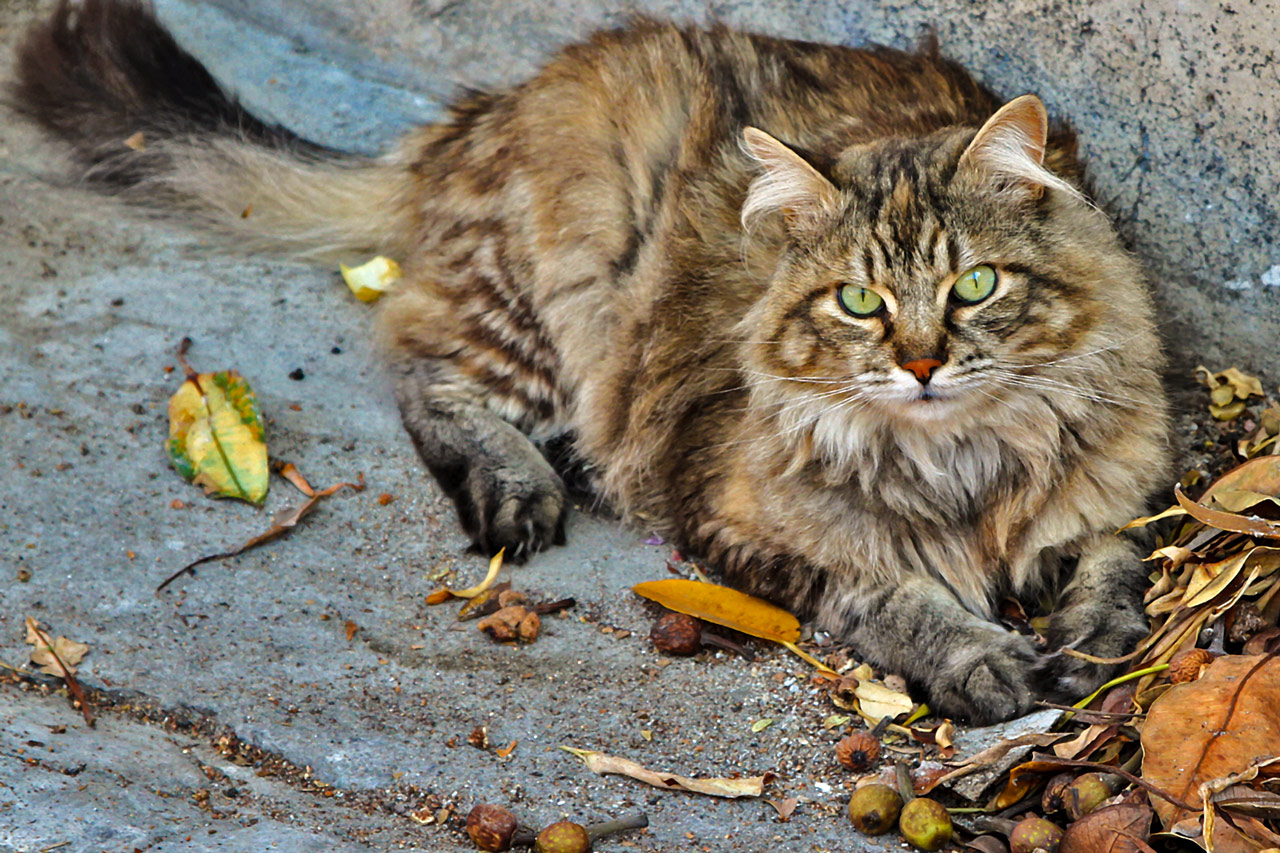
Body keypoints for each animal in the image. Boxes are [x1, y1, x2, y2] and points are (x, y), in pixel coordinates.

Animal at [10, 0, 1172, 722]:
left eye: (973, 287)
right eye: (858, 302)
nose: (925, 365)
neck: (959, 467)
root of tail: (487, 107)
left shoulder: (1123, 476)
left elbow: (1114, 550)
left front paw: (1093, 629)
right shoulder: (740, 525)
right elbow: (891, 595)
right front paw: (979, 658)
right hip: (556, 300)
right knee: (420, 367)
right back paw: (516, 485)